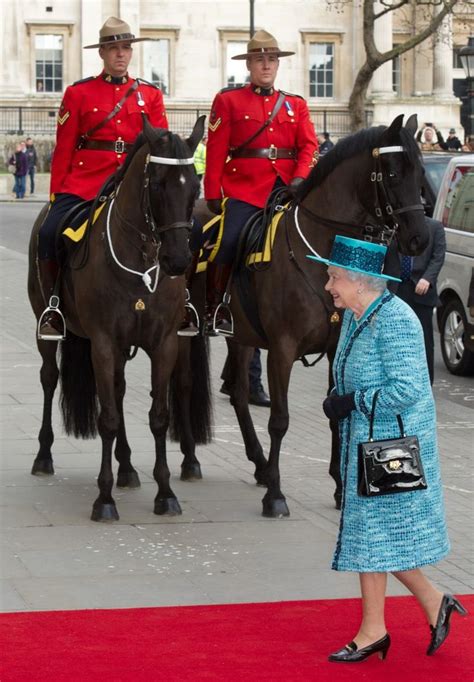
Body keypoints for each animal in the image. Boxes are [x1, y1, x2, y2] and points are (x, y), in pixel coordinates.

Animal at [26, 115, 211, 520]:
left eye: (195, 185)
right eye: (157, 184)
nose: (177, 260)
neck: (141, 257)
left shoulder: (164, 343)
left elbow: (158, 415)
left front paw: (165, 492)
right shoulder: (104, 344)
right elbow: (107, 416)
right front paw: (104, 498)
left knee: (121, 389)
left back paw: (126, 466)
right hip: (47, 326)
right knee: (49, 378)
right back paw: (44, 455)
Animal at [169, 113, 426, 516]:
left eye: (421, 174)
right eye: (394, 173)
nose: (420, 239)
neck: (323, 255)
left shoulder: (337, 349)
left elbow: (336, 416)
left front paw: (339, 487)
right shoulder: (282, 349)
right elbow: (279, 420)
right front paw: (276, 495)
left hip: (242, 335)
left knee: (239, 394)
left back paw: (258, 464)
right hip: (185, 330)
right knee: (182, 386)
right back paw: (191, 460)